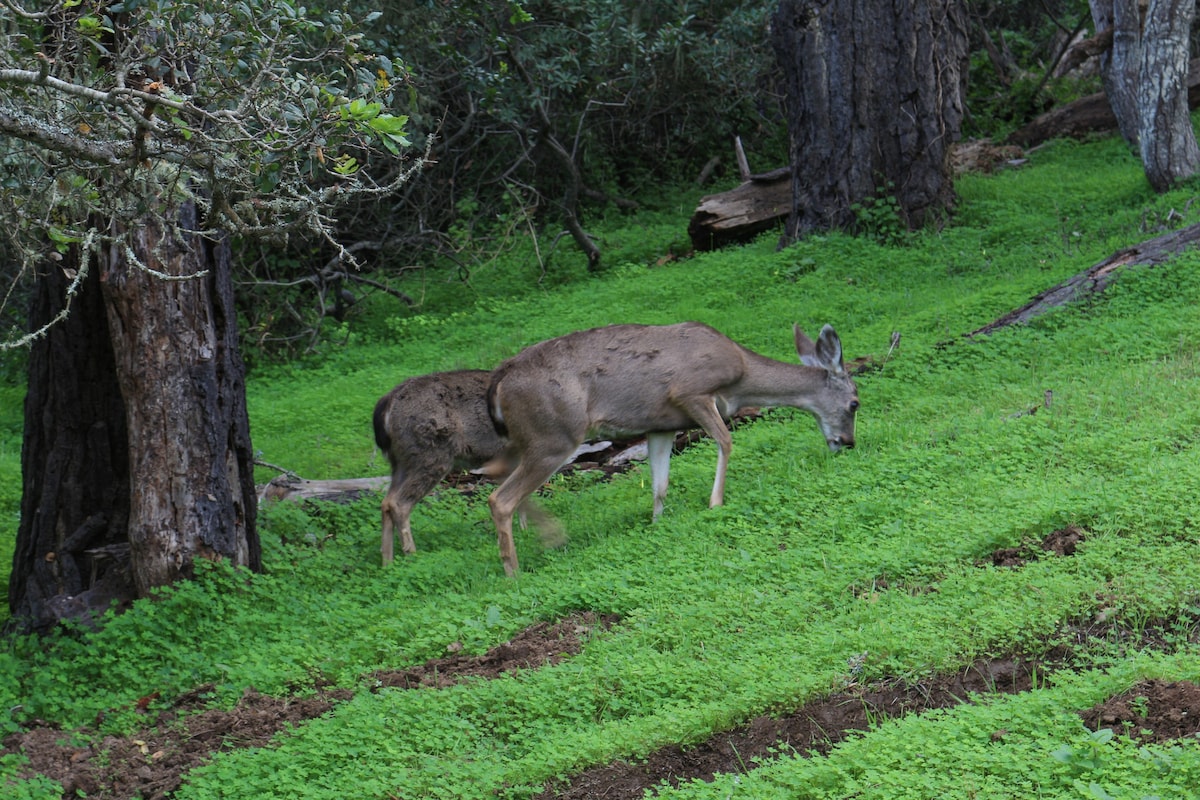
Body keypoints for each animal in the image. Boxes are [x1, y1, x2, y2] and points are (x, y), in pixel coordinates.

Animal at [482, 321, 859, 578]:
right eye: (855, 403)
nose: (847, 442)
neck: (741, 377)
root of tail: (498, 381)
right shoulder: (690, 391)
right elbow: (726, 441)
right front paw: (715, 502)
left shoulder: (660, 425)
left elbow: (660, 483)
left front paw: (657, 522)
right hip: (555, 435)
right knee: (500, 498)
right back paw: (516, 569)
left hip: (528, 438)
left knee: (498, 473)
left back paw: (549, 537)